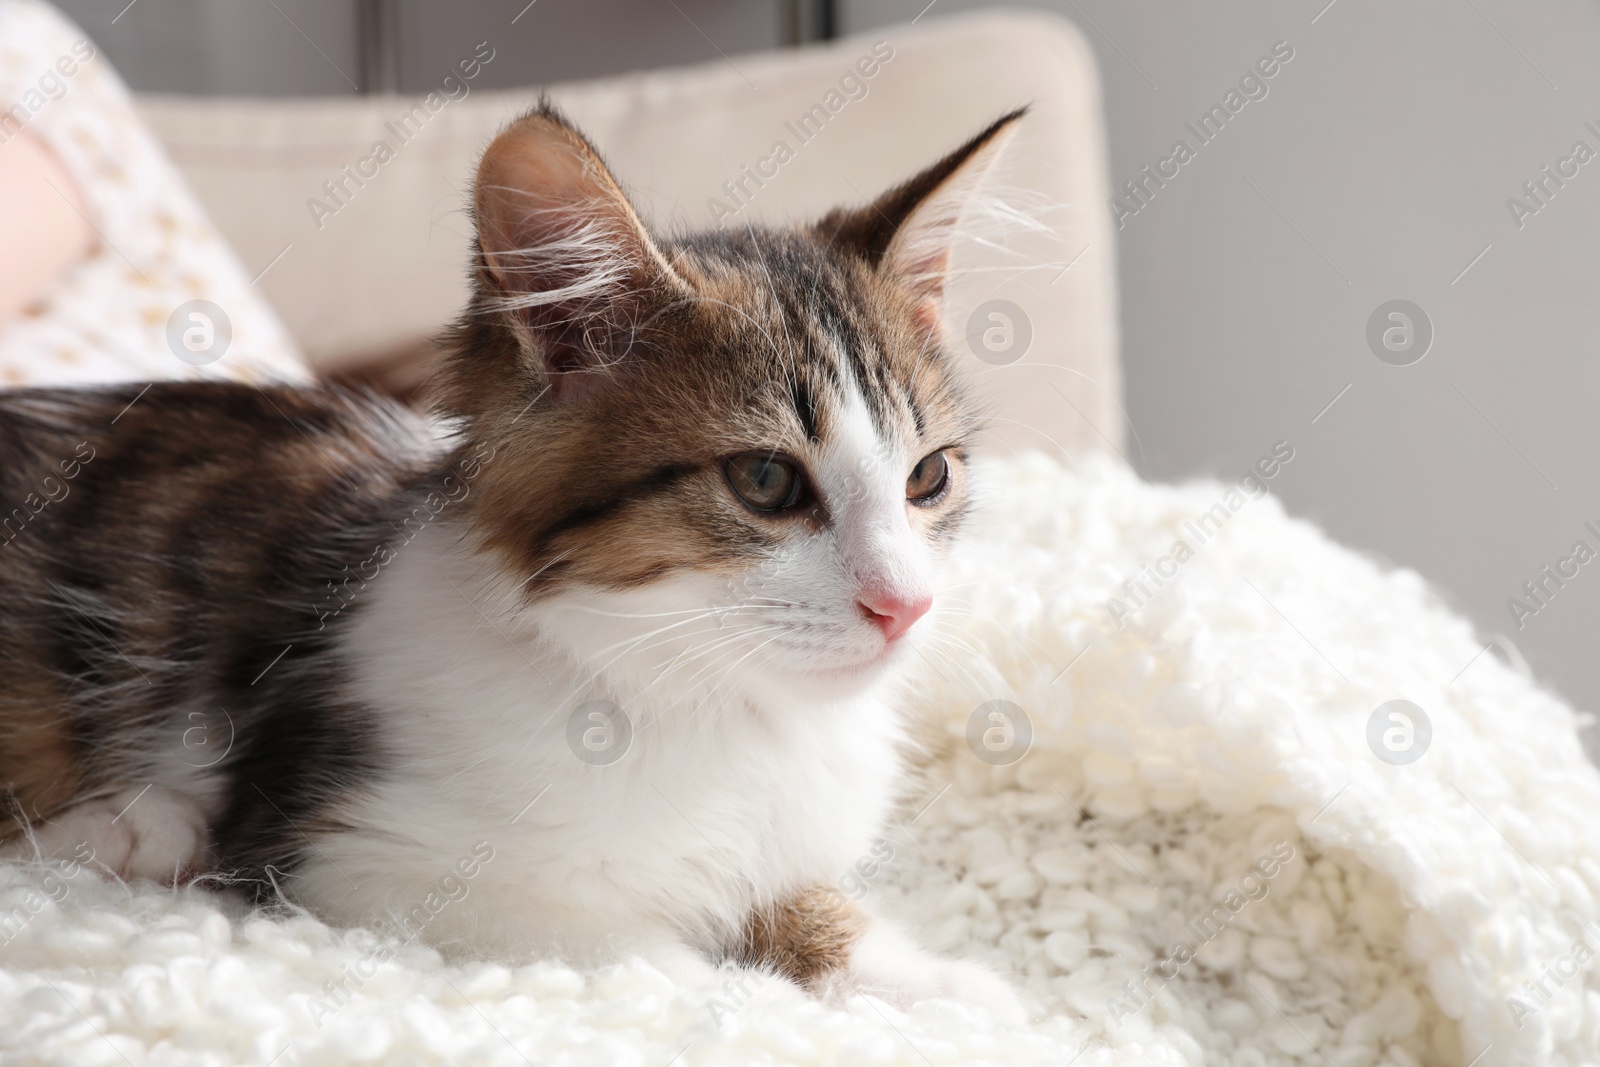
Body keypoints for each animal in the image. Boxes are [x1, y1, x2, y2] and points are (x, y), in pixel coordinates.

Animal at [0, 102, 1024, 1017]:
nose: (906, 606)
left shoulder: (782, 853)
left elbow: (812, 910)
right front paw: (760, 1010)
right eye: (767, 481)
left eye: (928, 476)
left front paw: (950, 991)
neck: (705, 698)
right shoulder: (351, 855)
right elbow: (649, 956)